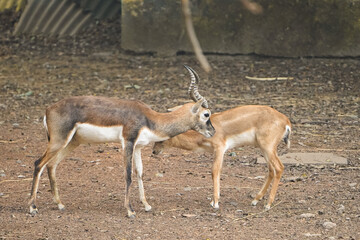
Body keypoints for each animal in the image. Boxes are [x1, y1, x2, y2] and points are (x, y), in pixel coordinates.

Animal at [29, 64, 215, 218]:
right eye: (206, 114)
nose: (212, 131)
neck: (150, 119)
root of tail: (48, 109)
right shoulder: (128, 142)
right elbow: (128, 174)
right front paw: (130, 210)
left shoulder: (138, 147)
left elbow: (140, 173)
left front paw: (146, 205)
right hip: (58, 141)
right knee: (39, 163)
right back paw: (33, 207)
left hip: (71, 142)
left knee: (51, 165)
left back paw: (59, 204)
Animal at [153, 97, 292, 210]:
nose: (154, 151)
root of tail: (286, 120)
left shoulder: (220, 149)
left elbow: (215, 171)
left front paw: (215, 203)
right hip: (264, 149)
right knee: (271, 170)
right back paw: (255, 200)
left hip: (268, 148)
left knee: (279, 168)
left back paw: (268, 204)